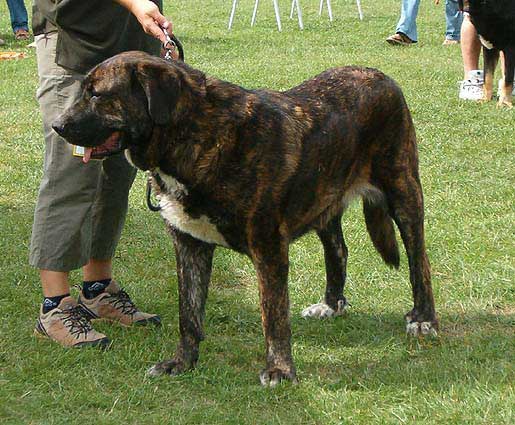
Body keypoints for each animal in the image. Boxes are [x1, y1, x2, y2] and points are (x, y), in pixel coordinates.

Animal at [52, 51, 440, 386]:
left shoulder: (268, 248)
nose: (57, 125)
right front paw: (182, 362)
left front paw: (281, 370)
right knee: (338, 251)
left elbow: (273, 316)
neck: (192, 135)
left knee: (419, 260)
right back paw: (331, 304)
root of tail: (381, 76)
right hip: (323, 200)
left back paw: (423, 319)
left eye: (98, 95)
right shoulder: (189, 245)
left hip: (404, 193)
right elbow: (188, 315)